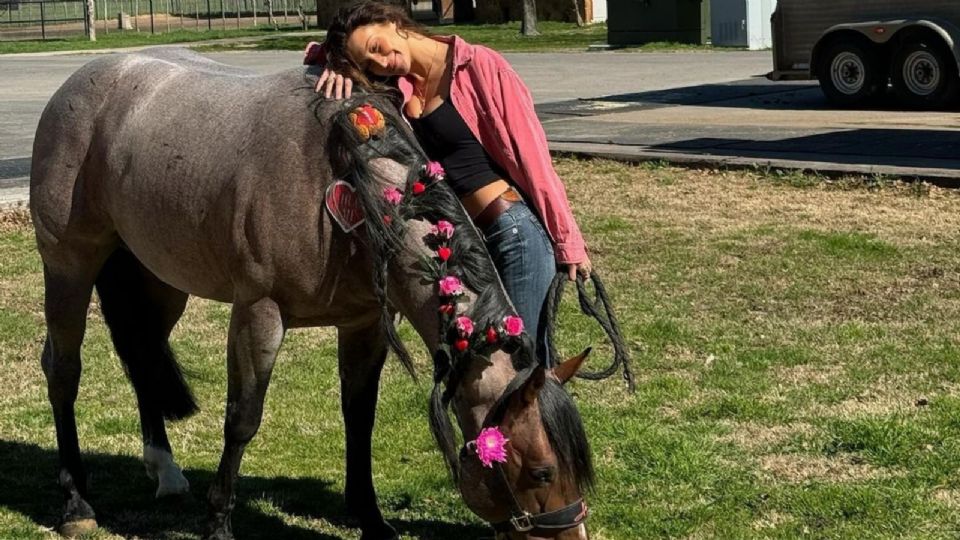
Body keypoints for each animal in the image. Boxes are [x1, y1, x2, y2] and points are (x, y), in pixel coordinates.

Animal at [31, 47, 592, 540]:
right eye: (541, 471)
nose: (573, 534)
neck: (345, 187)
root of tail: (80, 83)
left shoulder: (363, 325)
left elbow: (359, 419)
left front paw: (371, 519)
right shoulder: (258, 313)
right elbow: (242, 420)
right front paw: (218, 523)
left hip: (160, 278)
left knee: (142, 354)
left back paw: (165, 472)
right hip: (69, 267)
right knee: (63, 368)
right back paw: (77, 504)